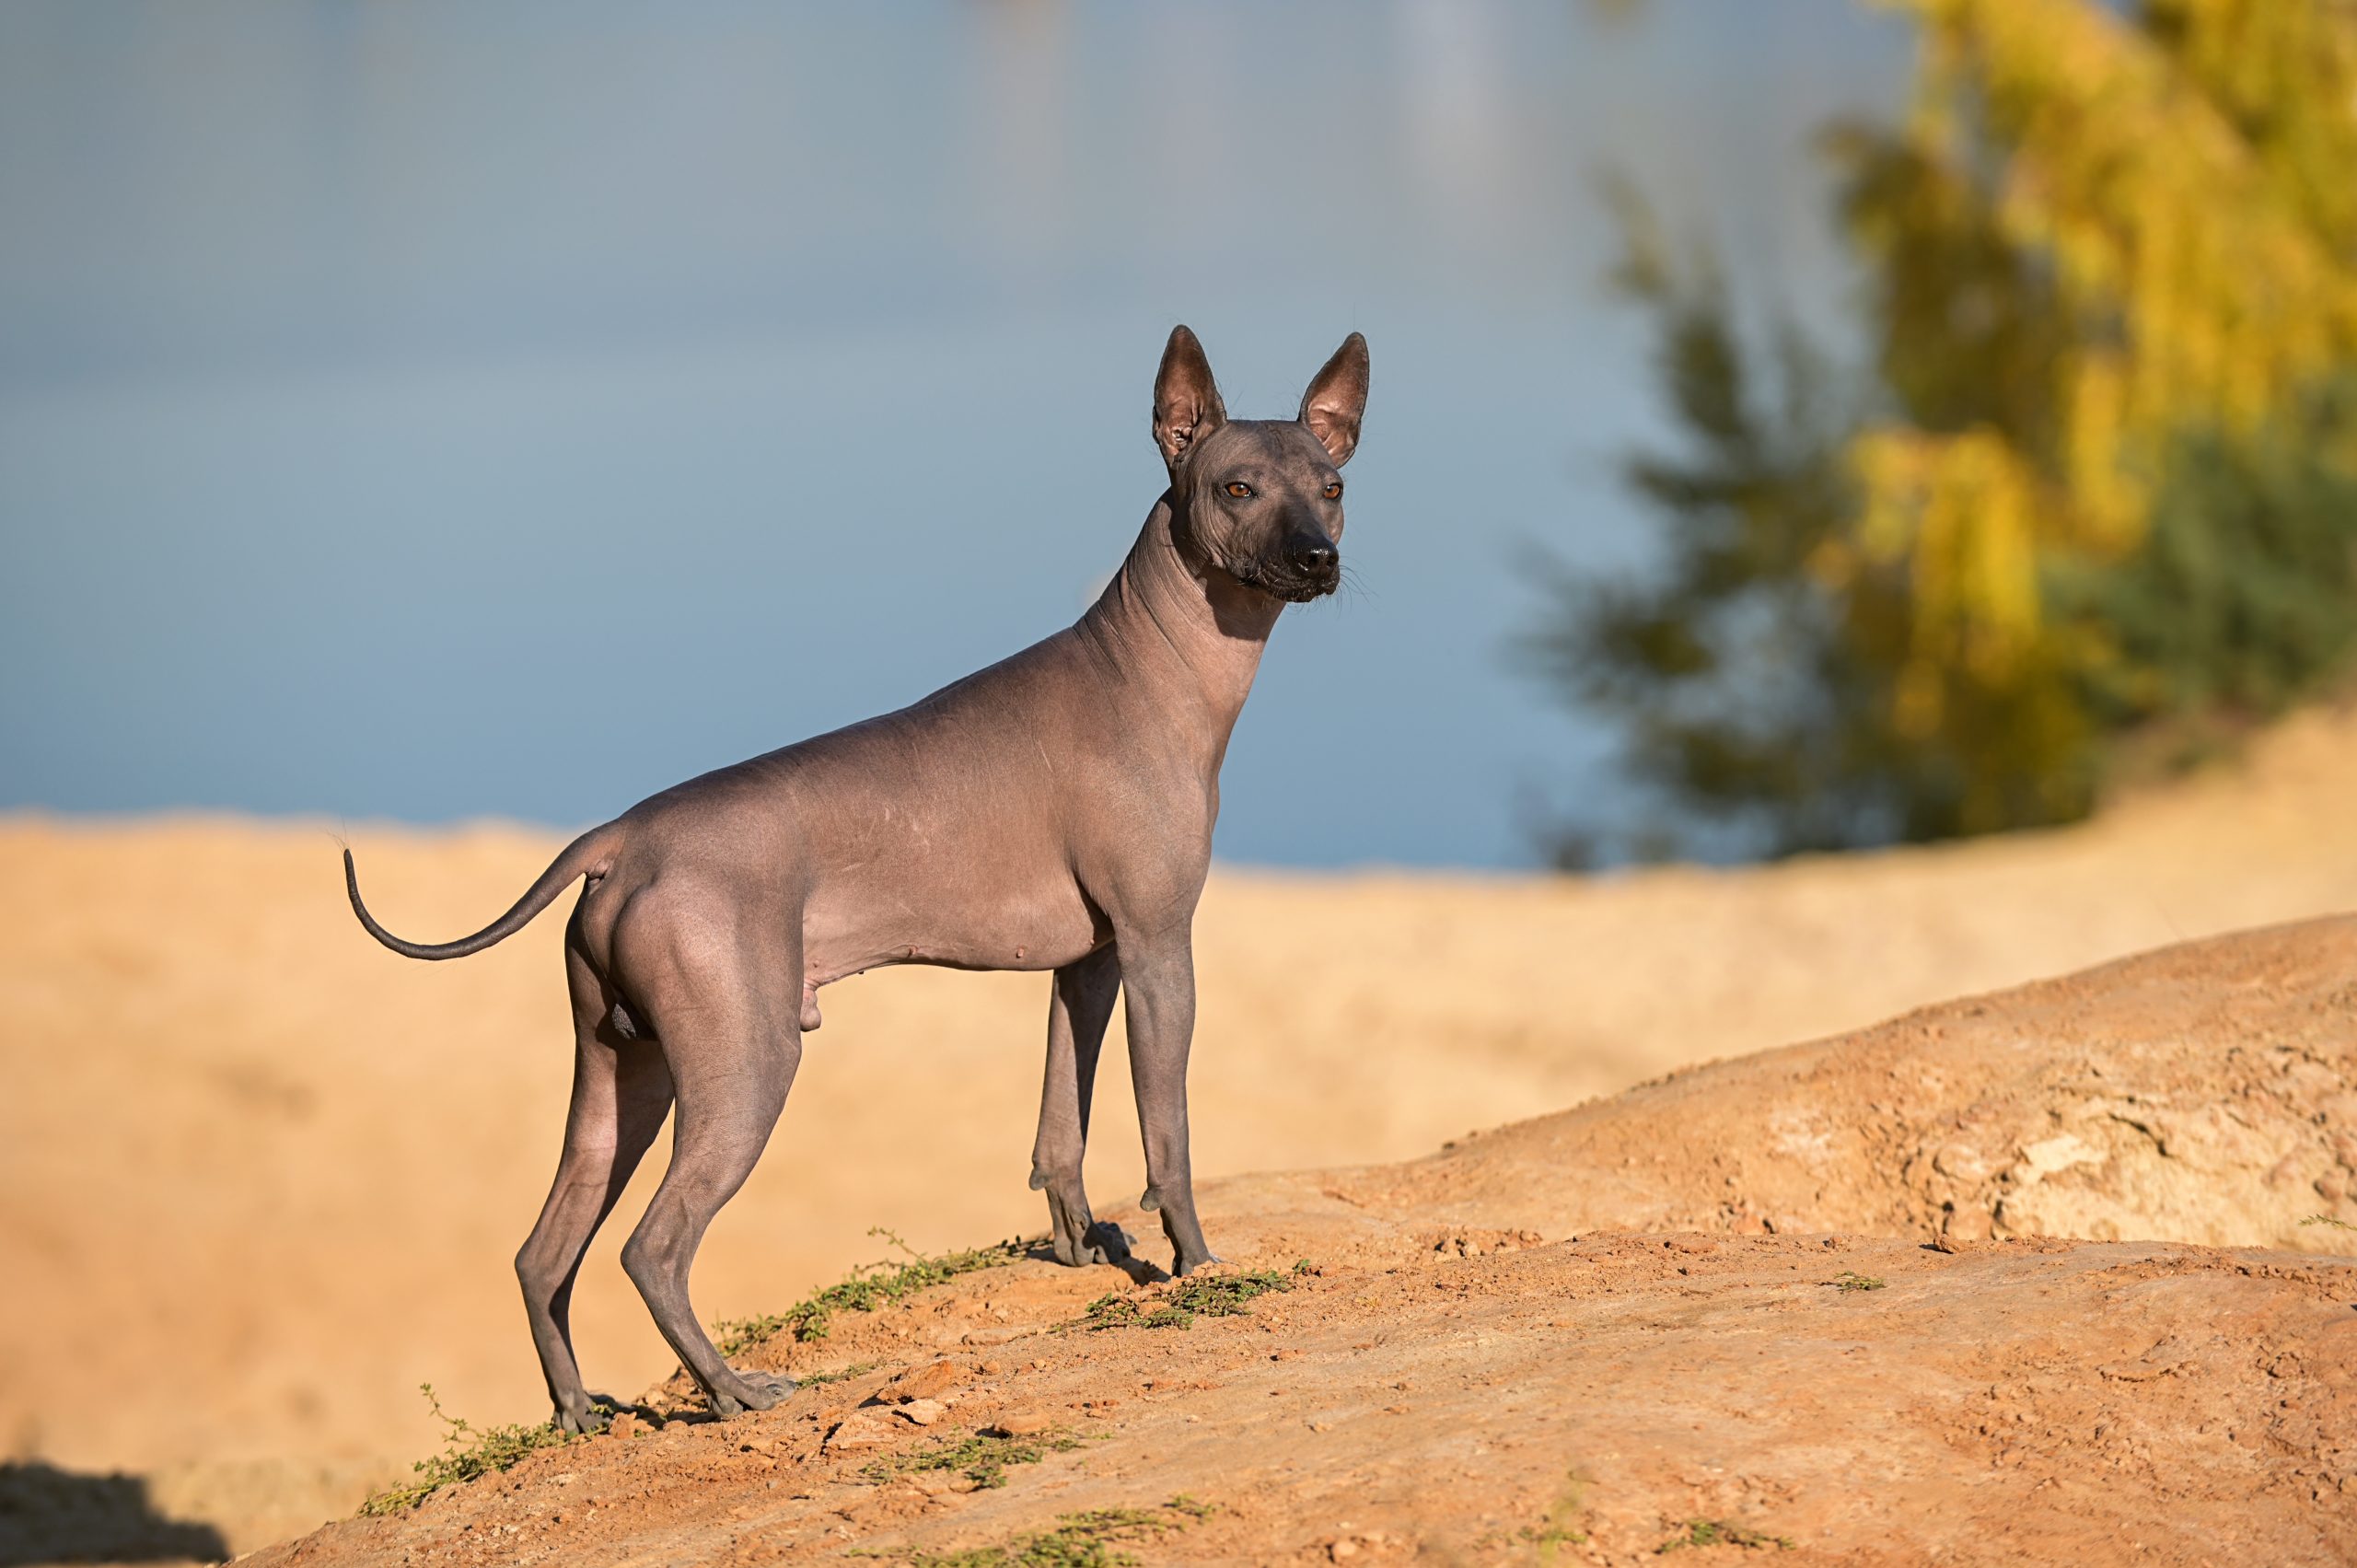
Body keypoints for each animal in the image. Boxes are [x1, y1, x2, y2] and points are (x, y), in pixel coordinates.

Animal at [343, 322, 1366, 1423]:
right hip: (746, 1065)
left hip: (622, 1076)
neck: (1151, 666)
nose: (1317, 556)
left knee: (543, 1252)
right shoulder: (1158, 947)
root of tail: (621, 836)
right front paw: (1194, 1260)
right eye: (1236, 488)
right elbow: (1167, 1134)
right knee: (651, 1247)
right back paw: (731, 1389)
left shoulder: (1087, 964)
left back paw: (578, 1411)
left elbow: (1061, 1123)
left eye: (1332, 485)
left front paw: (1077, 1244)